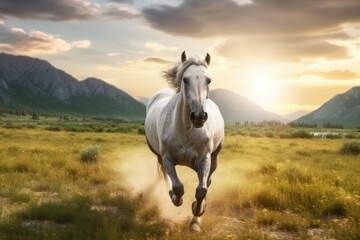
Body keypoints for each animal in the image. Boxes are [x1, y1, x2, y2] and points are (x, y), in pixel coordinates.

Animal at [144, 51, 224, 232]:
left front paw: (196, 215)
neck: (187, 130)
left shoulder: (204, 159)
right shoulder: (167, 158)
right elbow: (178, 187)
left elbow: (201, 190)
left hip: (214, 158)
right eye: (185, 79)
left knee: (208, 182)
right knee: (165, 174)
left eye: (208, 80)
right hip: (158, 155)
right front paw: (175, 198)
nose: (199, 116)